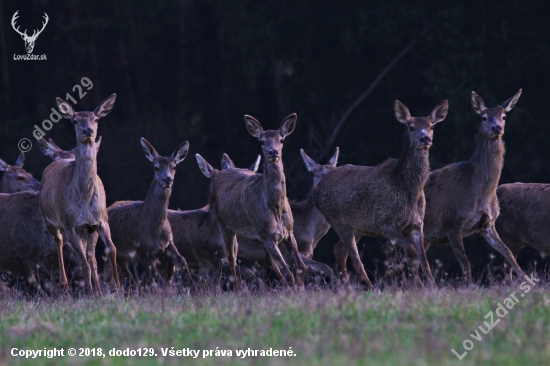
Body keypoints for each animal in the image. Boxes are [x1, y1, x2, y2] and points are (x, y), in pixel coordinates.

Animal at [39, 93, 121, 294]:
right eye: (75, 120)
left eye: (96, 119)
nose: (88, 131)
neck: (84, 199)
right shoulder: (71, 225)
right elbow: (83, 263)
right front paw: (90, 293)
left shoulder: (101, 220)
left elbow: (111, 249)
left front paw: (117, 286)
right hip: (49, 220)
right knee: (59, 242)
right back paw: (64, 283)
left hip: (88, 230)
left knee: (91, 256)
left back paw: (97, 289)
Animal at [108, 137, 192, 286]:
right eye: (156, 167)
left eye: (174, 167)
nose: (167, 179)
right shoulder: (141, 251)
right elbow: (159, 280)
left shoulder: (169, 243)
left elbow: (183, 260)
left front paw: (195, 287)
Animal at [198, 114, 308, 288]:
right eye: (262, 141)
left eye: (281, 139)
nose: (273, 151)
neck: (275, 208)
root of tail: (216, 173)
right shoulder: (267, 234)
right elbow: (289, 272)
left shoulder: (289, 231)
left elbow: (301, 267)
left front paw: (300, 290)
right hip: (224, 224)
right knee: (230, 258)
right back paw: (238, 288)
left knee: (266, 261)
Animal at [316, 100, 450, 288]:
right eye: (411, 127)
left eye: (431, 126)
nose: (425, 138)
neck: (409, 191)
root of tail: (316, 188)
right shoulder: (383, 221)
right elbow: (409, 250)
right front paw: (404, 279)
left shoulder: (417, 224)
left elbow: (423, 260)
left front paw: (430, 287)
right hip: (337, 220)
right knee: (354, 257)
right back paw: (370, 287)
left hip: (356, 226)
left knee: (340, 250)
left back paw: (348, 286)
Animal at [388, 90, 528, 284]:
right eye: (484, 117)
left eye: (504, 116)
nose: (496, 128)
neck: (478, 192)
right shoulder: (452, 223)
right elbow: (466, 265)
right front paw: (469, 287)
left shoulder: (488, 224)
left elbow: (509, 255)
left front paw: (530, 283)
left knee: (409, 264)